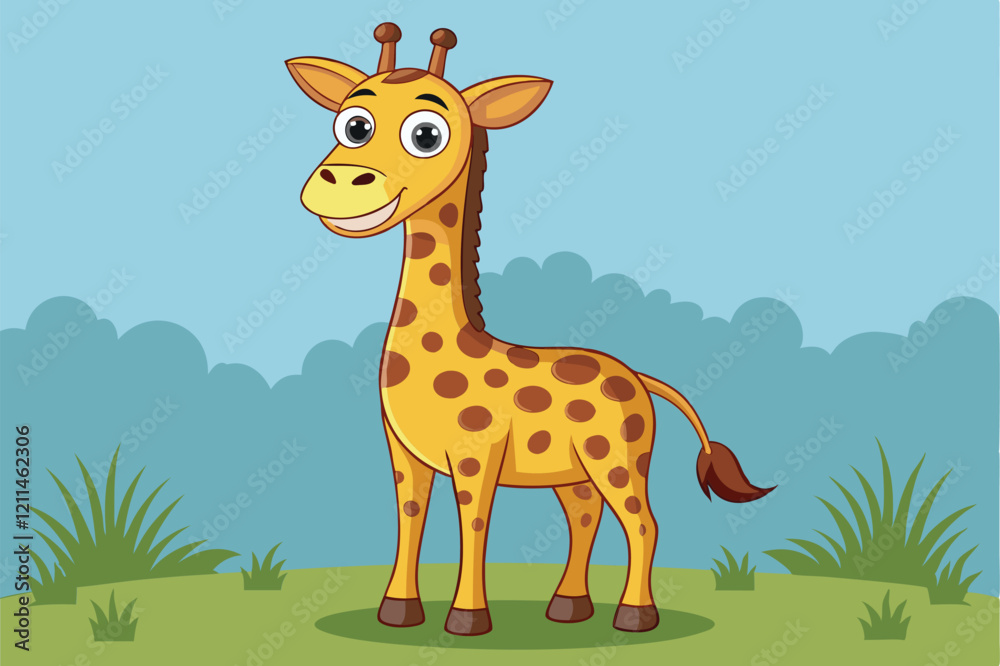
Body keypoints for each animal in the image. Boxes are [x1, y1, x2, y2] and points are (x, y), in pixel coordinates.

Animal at [286, 23, 774, 636]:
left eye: (427, 134)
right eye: (353, 124)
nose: (343, 183)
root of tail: (639, 377)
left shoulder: (476, 455)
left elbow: (474, 526)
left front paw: (467, 620)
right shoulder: (403, 452)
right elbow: (410, 520)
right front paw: (397, 612)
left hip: (619, 458)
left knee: (643, 523)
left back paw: (633, 617)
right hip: (573, 470)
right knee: (586, 516)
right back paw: (567, 608)